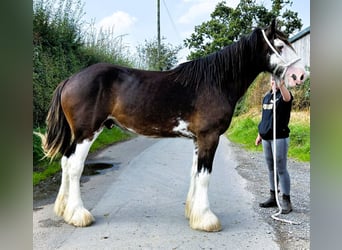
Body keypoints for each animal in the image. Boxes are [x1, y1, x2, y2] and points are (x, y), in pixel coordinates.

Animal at [38, 20, 308, 232]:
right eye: (280, 46)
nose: (300, 75)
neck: (215, 82)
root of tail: (71, 79)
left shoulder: (198, 139)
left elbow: (195, 173)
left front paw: (193, 213)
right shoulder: (209, 137)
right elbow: (204, 176)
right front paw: (206, 219)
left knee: (65, 162)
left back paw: (63, 209)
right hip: (87, 133)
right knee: (74, 166)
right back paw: (78, 215)